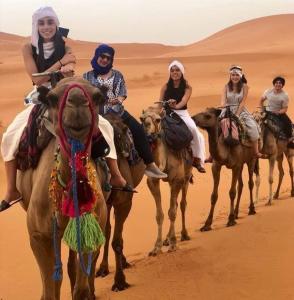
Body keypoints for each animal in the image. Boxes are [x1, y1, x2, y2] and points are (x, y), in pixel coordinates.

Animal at [16, 77, 107, 300]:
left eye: (97, 96)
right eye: (52, 98)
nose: (77, 101)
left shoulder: (92, 228)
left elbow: (81, 289)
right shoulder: (39, 236)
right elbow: (50, 291)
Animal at [140, 106, 193, 255]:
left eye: (158, 119)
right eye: (141, 118)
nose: (148, 133)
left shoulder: (178, 179)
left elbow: (172, 212)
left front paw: (174, 244)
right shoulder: (152, 181)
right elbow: (160, 214)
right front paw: (156, 247)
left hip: (186, 176)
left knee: (182, 203)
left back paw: (184, 234)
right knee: (175, 203)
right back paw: (166, 239)